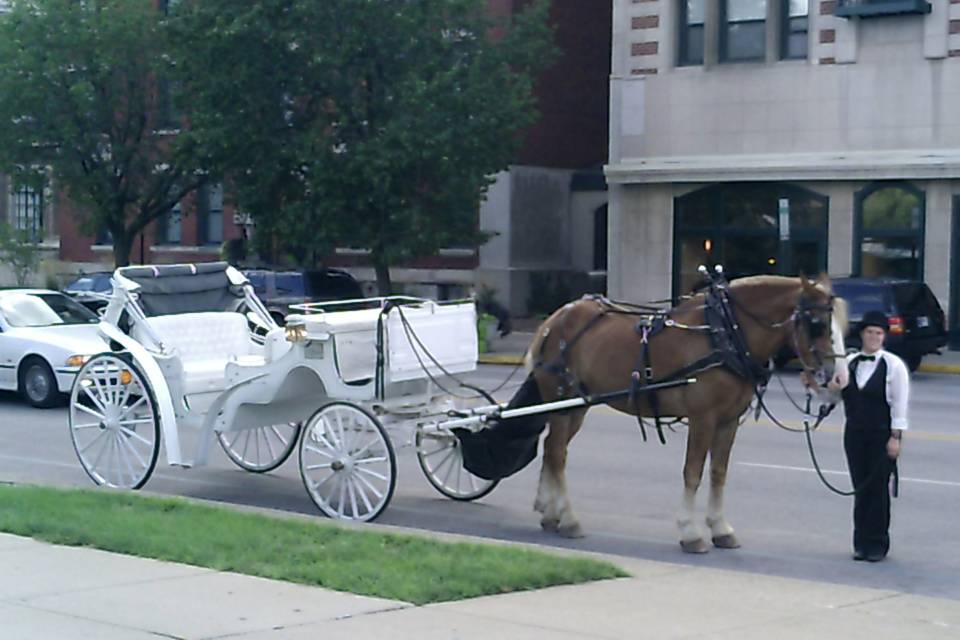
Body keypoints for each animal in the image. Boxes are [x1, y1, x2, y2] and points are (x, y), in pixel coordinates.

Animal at [524, 272, 848, 552]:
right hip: (561, 399)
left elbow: (718, 472)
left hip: (576, 405)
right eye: (817, 324)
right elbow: (693, 472)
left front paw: (720, 528)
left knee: (552, 448)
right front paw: (690, 532)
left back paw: (550, 513)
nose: (838, 378)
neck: (726, 332)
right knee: (558, 453)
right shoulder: (703, 417)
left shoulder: (729, 420)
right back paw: (569, 519)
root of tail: (553, 320)